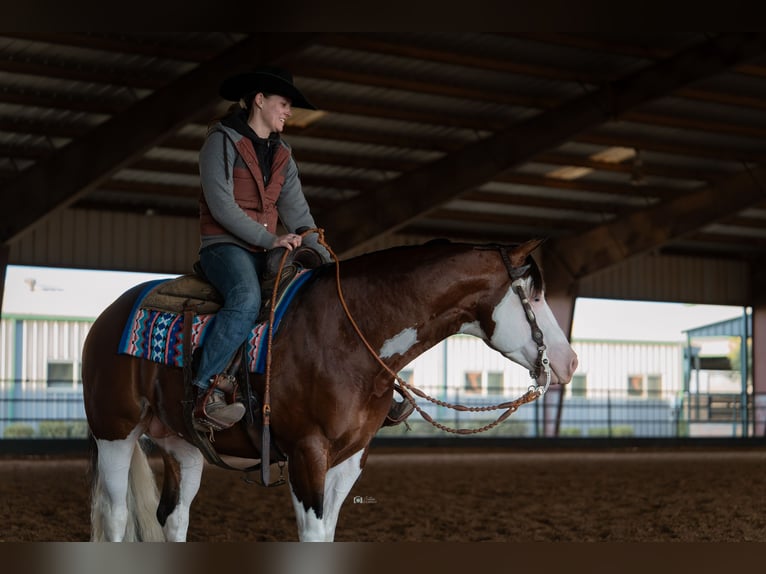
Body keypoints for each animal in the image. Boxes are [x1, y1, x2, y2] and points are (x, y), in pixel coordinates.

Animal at [82, 236, 576, 544]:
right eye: (533, 295)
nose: (568, 362)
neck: (349, 334)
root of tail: (106, 317)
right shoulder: (307, 453)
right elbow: (313, 535)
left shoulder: (350, 458)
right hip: (115, 434)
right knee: (115, 516)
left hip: (181, 446)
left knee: (174, 518)